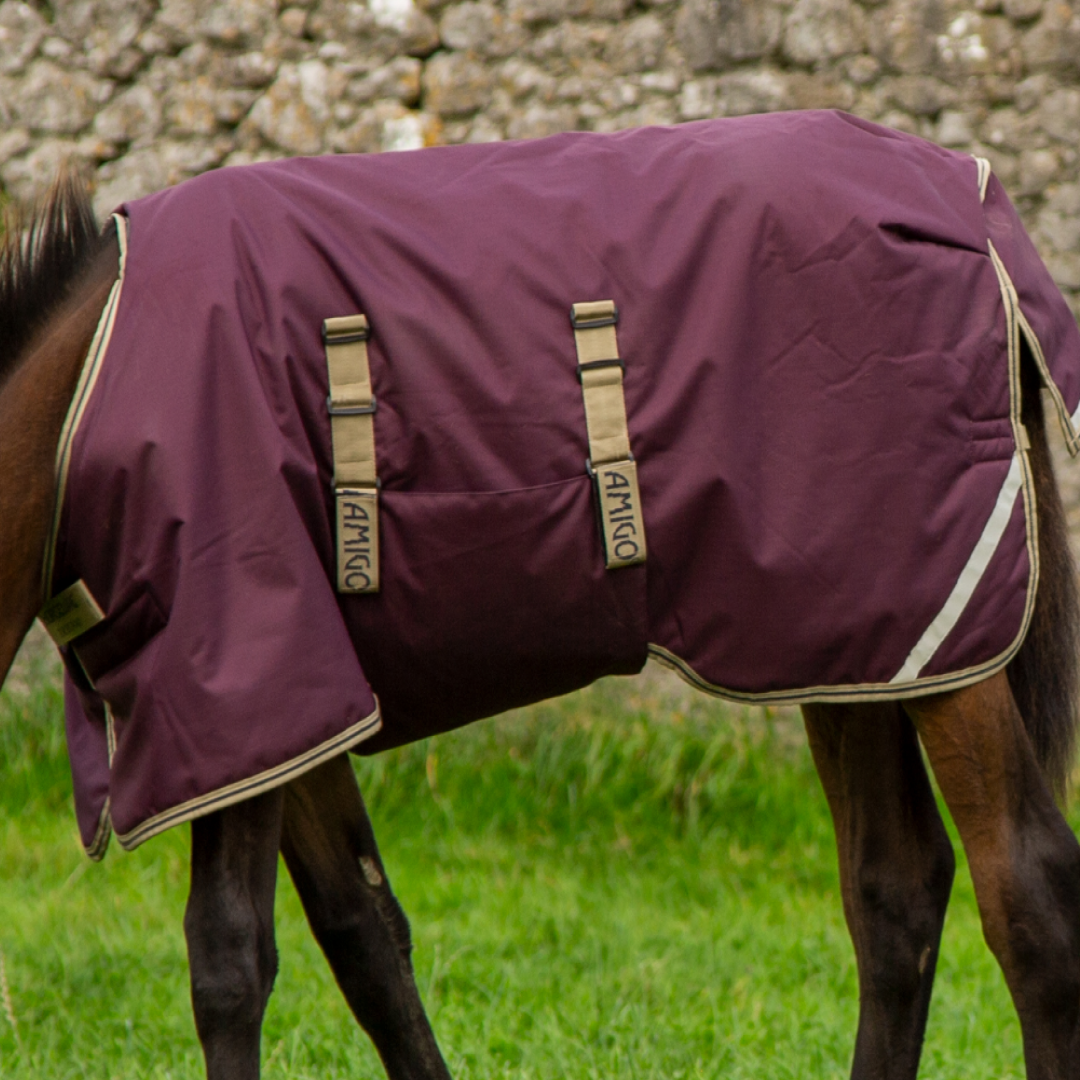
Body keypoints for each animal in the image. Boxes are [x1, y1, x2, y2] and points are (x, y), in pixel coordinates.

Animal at [3, 111, 1080, 1080]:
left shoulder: (237, 679)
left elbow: (228, 958)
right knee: (895, 891)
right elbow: (364, 934)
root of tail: (966, 205)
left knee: (1028, 894)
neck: (93, 398)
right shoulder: (288, 706)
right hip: (859, 642)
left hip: (942, 644)